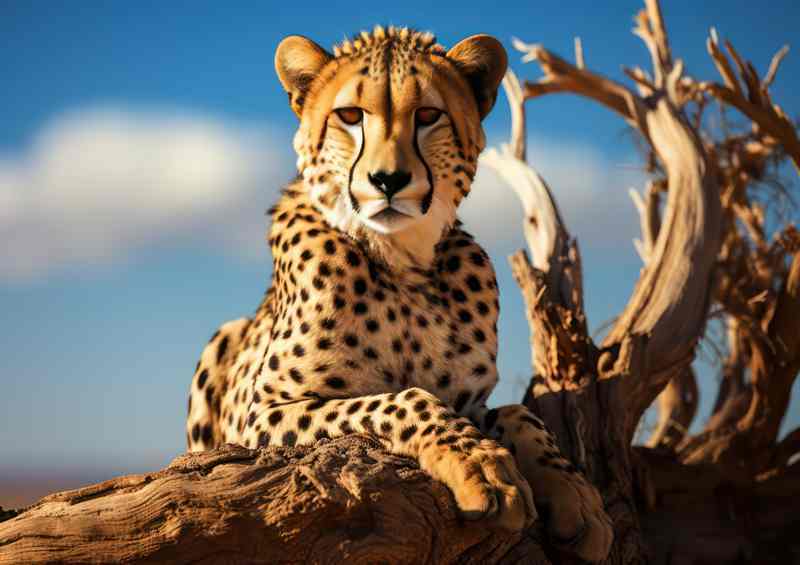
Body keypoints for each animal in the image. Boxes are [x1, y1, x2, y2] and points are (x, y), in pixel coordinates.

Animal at [185, 26, 612, 561]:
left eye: (428, 116)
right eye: (350, 116)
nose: (388, 180)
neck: (402, 263)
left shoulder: (471, 400)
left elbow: (520, 415)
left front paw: (576, 494)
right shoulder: (262, 415)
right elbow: (401, 399)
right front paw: (480, 467)